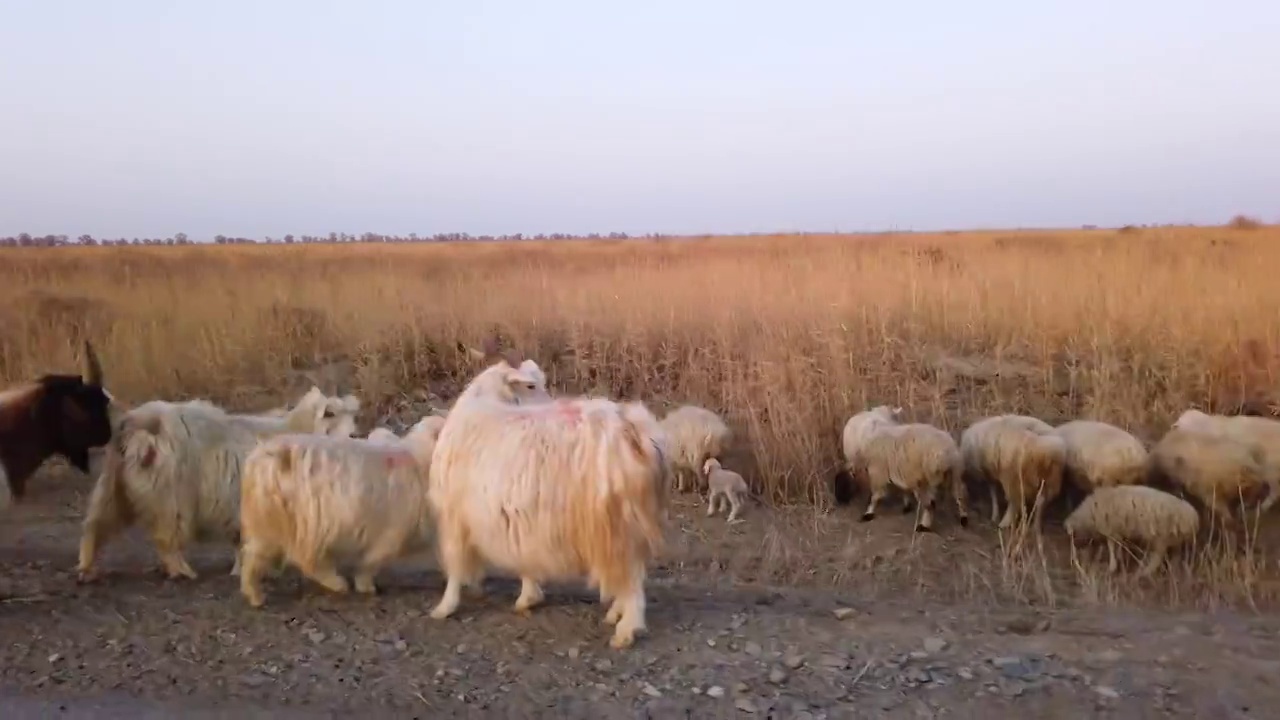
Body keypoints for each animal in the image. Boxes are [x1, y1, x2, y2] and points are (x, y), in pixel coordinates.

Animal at [74, 384, 360, 579]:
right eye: (330, 413)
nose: (355, 435)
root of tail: (135, 419)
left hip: (116, 485)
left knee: (95, 524)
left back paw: (87, 568)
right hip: (171, 494)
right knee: (165, 537)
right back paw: (182, 571)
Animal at [236, 409, 450, 604]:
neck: (420, 460)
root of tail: (266, 456)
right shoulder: (392, 532)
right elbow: (372, 561)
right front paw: (365, 586)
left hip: (268, 522)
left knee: (253, 554)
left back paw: (253, 594)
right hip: (298, 523)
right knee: (305, 559)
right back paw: (336, 583)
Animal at [430, 338, 670, 648]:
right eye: (531, 385)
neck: (486, 406)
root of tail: (635, 431)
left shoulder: (455, 516)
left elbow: (455, 564)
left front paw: (444, 607)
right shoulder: (518, 517)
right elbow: (525, 559)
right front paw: (528, 597)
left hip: (616, 524)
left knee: (632, 576)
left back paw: (627, 630)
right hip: (634, 520)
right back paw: (616, 614)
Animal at [1059, 479, 1198, 573]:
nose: (1073, 558)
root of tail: (1193, 518)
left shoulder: (1111, 530)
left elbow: (1111, 546)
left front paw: (1113, 565)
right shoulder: (1116, 531)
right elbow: (1116, 546)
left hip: (1161, 537)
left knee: (1158, 557)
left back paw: (1145, 572)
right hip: (1174, 538)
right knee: (1176, 556)